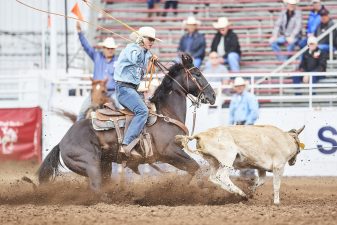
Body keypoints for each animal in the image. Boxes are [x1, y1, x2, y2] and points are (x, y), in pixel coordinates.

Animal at [37, 54, 215, 193]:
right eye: (198, 74)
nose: (212, 95)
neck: (166, 114)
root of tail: (62, 142)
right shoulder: (169, 152)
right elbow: (194, 167)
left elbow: (193, 168)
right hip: (90, 165)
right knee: (96, 187)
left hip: (105, 165)